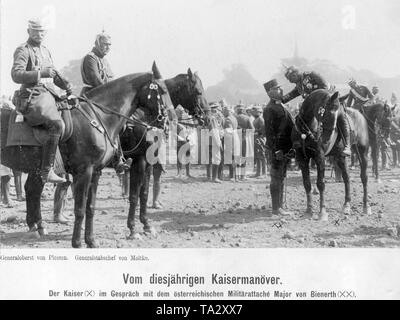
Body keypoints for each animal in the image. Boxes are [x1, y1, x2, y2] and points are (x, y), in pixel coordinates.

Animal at [1, 67, 173, 248]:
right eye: (162, 90)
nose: (167, 121)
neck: (100, 117)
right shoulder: (90, 170)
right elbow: (83, 207)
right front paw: (78, 242)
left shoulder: (99, 171)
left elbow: (93, 206)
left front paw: (91, 240)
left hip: (36, 169)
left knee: (32, 190)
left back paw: (37, 227)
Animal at [119, 65, 208, 240]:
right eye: (198, 91)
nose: (206, 116)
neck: (144, 120)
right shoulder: (138, 162)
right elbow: (134, 195)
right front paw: (132, 229)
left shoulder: (148, 162)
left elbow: (144, 193)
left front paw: (146, 225)